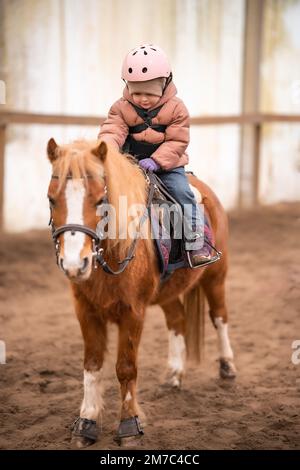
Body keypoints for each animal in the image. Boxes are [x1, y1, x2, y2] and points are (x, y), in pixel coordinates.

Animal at [46, 138, 237, 446]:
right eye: (52, 199)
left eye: (100, 201)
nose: (75, 264)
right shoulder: (86, 311)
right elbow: (92, 365)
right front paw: (86, 423)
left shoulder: (133, 312)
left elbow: (126, 368)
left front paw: (129, 425)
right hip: (168, 291)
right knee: (178, 320)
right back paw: (174, 375)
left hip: (216, 276)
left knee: (219, 316)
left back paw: (228, 367)